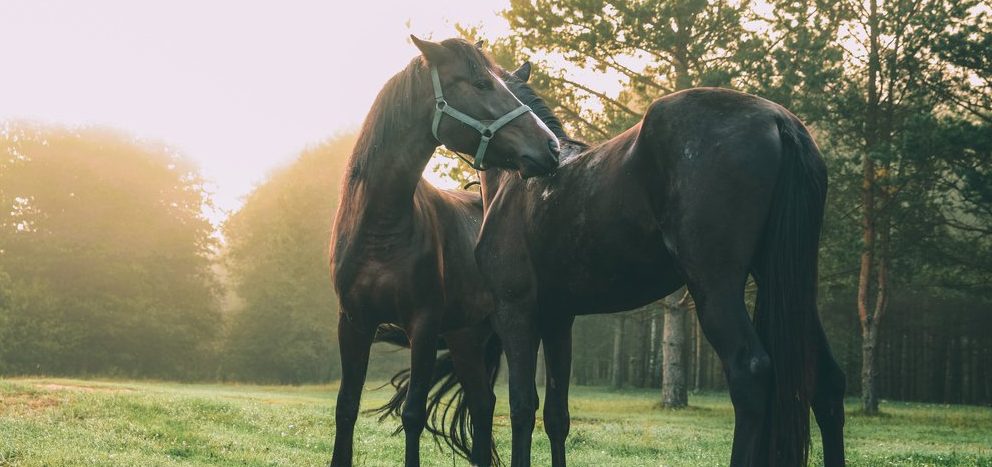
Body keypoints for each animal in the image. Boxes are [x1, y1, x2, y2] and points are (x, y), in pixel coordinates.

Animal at [326, 38, 560, 466]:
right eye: (482, 84)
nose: (550, 146)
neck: (382, 229)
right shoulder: (353, 322)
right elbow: (346, 407)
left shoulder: (423, 324)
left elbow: (412, 414)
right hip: (466, 337)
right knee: (482, 405)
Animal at [404, 63, 844, 467]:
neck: (519, 182)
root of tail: (778, 119)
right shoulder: (558, 319)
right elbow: (556, 416)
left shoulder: (516, 313)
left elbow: (521, 409)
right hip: (790, 286)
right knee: (827, 383)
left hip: (715, 287)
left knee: (749, 374)